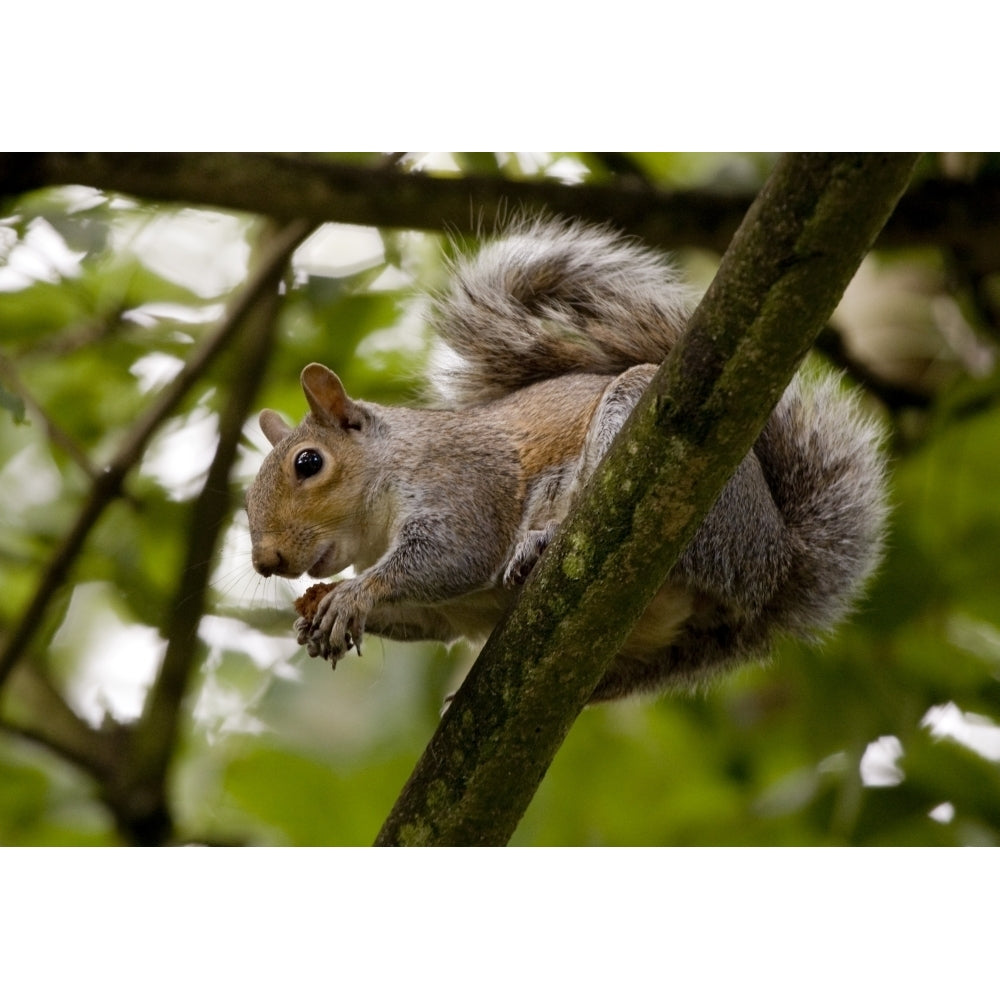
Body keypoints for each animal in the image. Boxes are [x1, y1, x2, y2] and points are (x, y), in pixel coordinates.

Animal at [246, 217, 888, 704]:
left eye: (308, 463)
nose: (265, 561)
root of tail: (774, 561)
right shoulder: (442, 612)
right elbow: (428, 618)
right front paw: (320, 610)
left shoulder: (462, 485)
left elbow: (453, 554)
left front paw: (355, 593)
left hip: (670, 481)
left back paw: (542, 542)